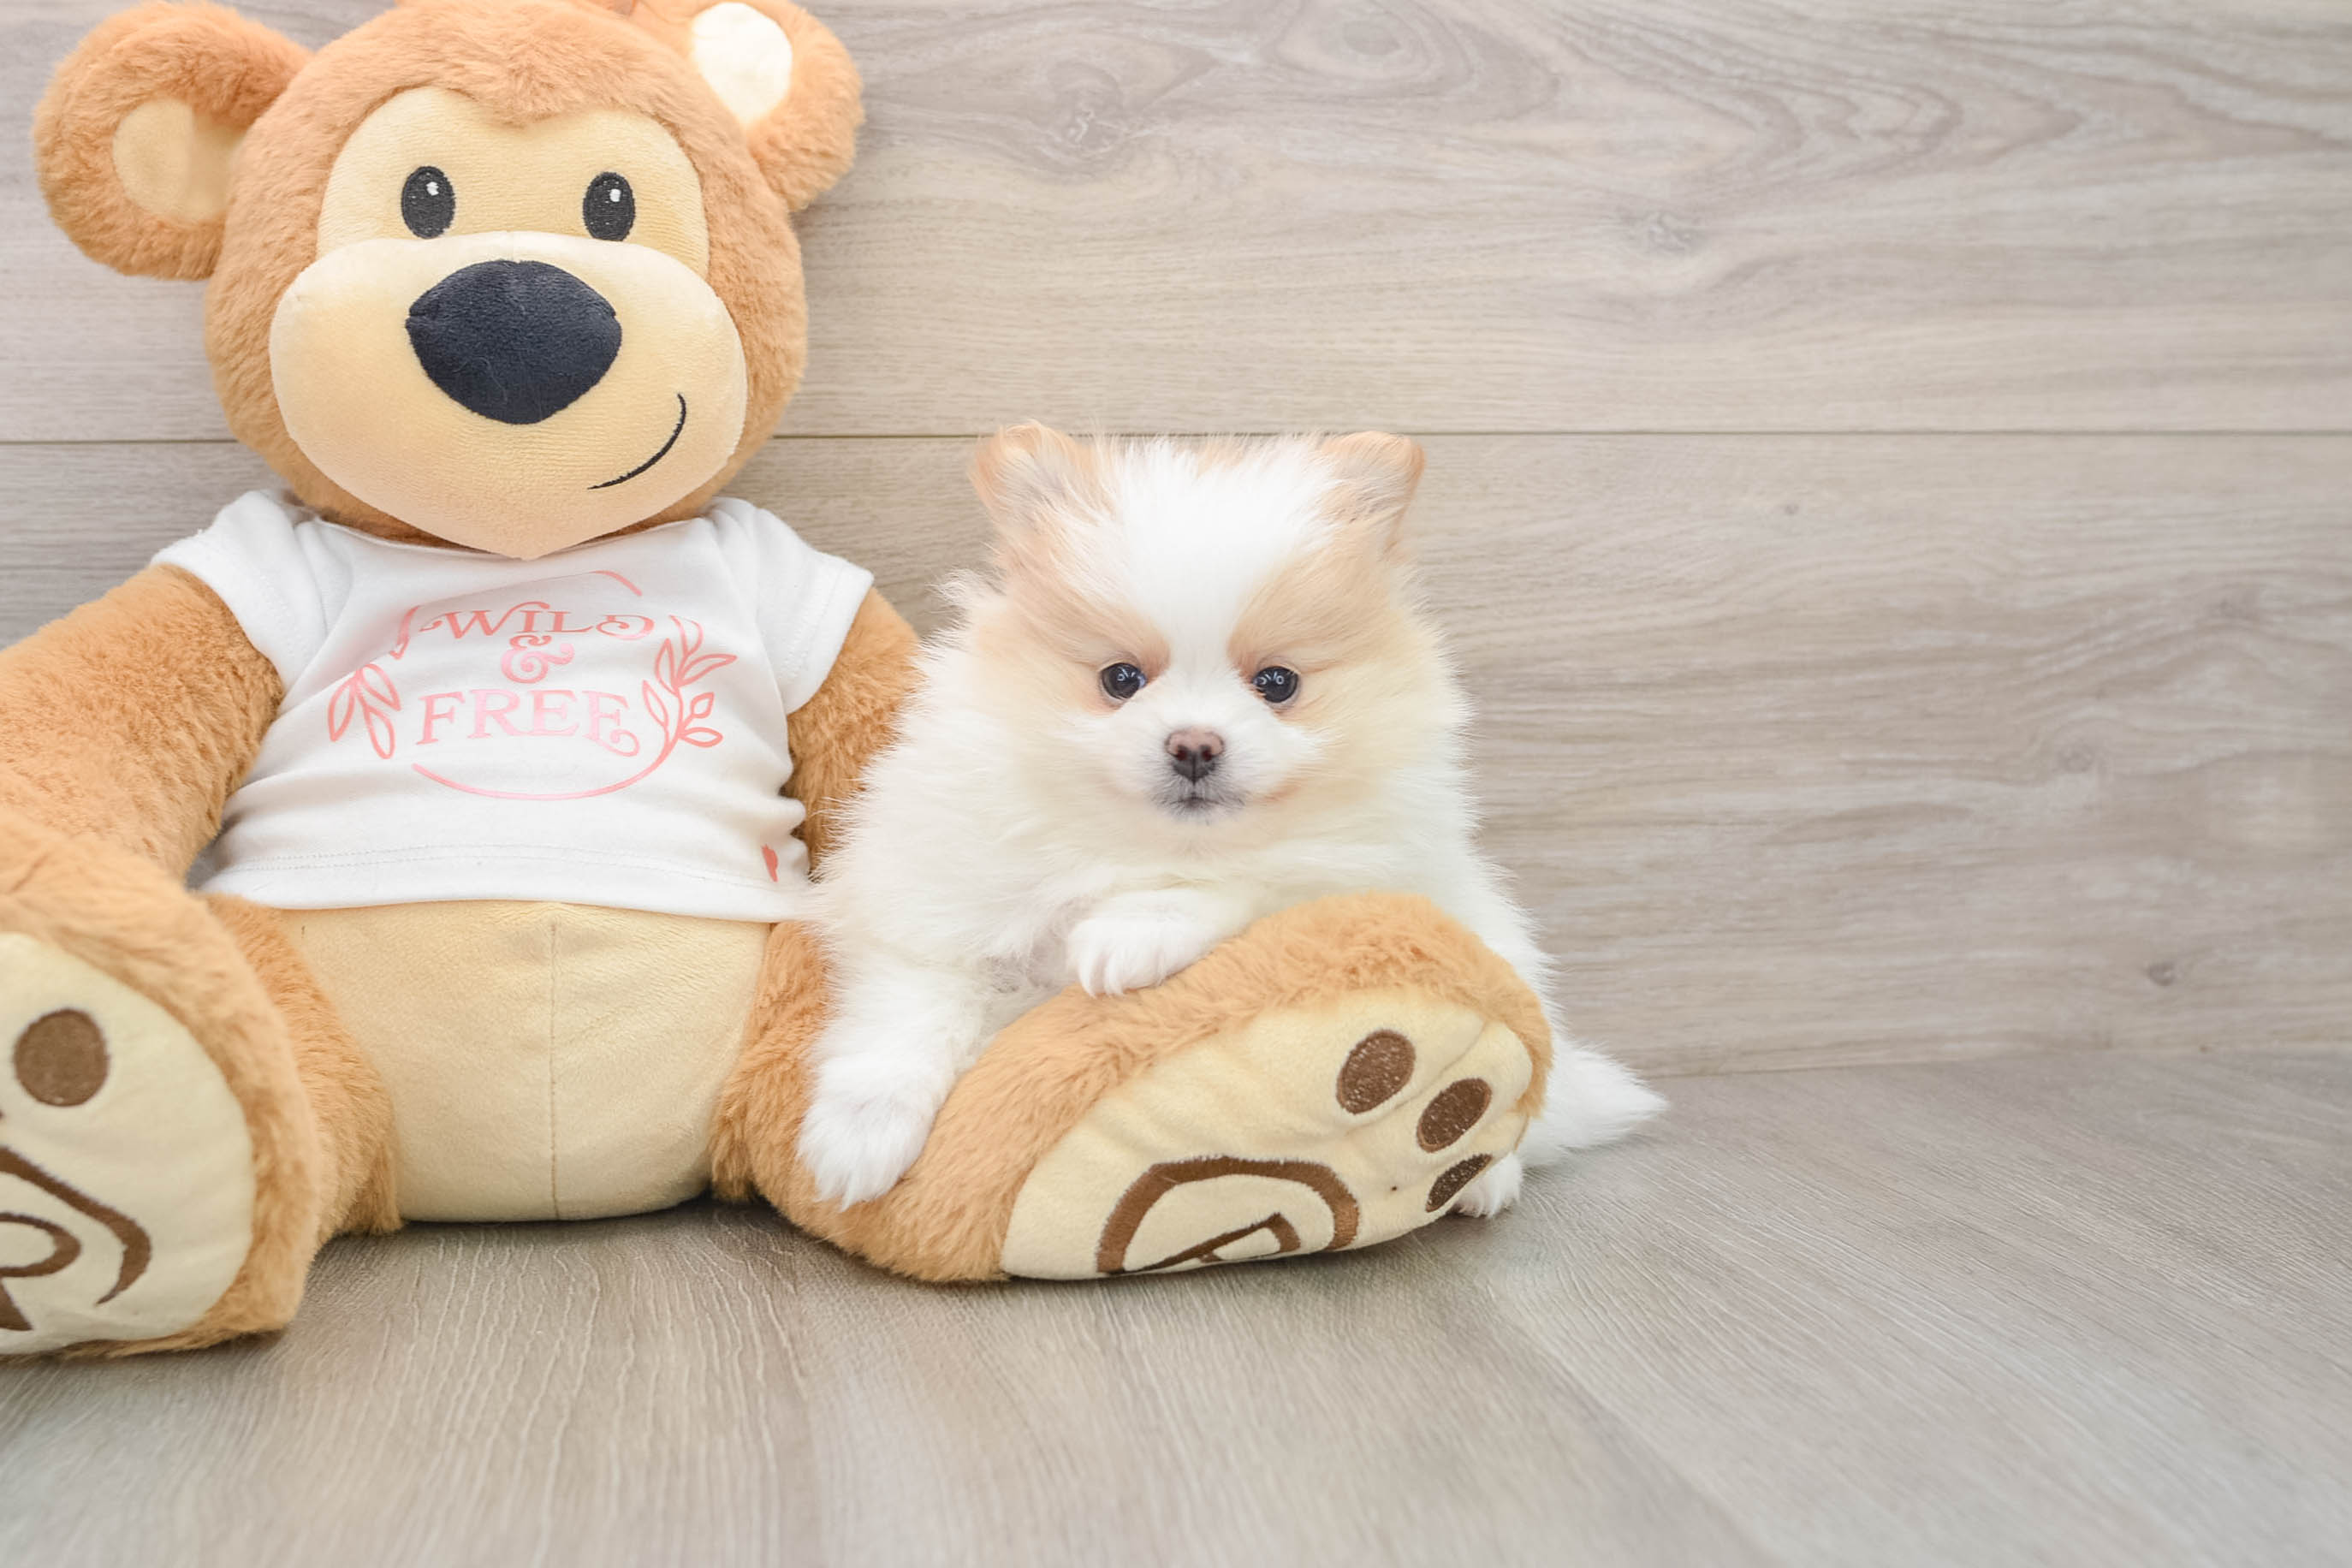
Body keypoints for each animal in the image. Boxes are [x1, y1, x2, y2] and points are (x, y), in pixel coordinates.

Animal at [797, 425, 1662, 1208]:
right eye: (1120, 679)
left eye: (1277, 683)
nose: (1194, 745)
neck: (1133, 847)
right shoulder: (936, 904)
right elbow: (907, 1013)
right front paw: (855, 1146)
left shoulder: (1352, 873)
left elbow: (1240, 883)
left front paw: (1129, 936)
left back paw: (1484, 1182)